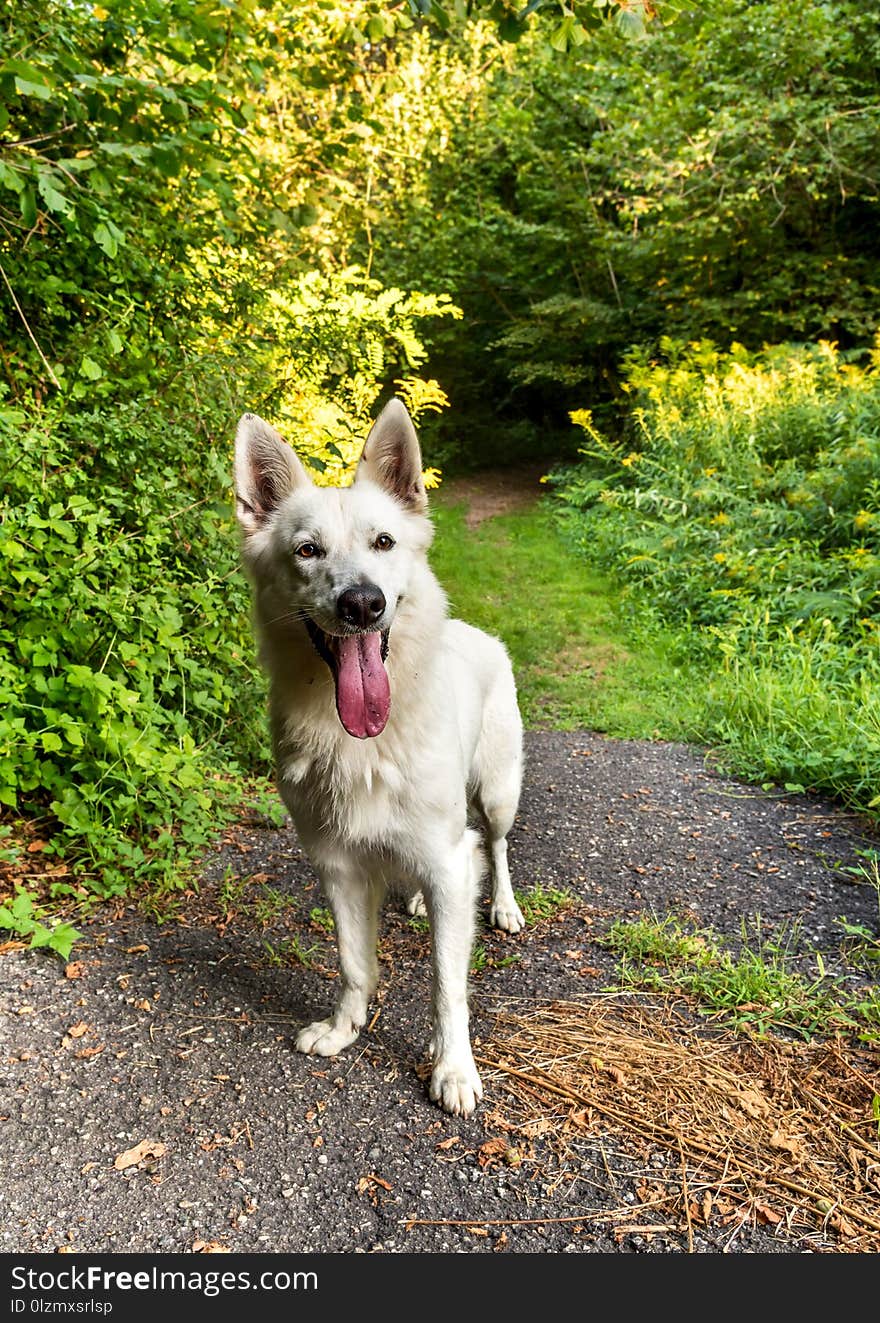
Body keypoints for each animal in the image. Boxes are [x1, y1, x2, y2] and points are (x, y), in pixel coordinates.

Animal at [232, 396, 521, 1111]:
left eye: (383, 543)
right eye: (307, 551)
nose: (363, 603)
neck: (367, 741)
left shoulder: (448, 858)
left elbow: (448, 986)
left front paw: (454, 1069)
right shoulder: (337, 863)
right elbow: (354, 962)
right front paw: (344, 1029)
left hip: (498, 792)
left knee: (497, 844)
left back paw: (502, 905)